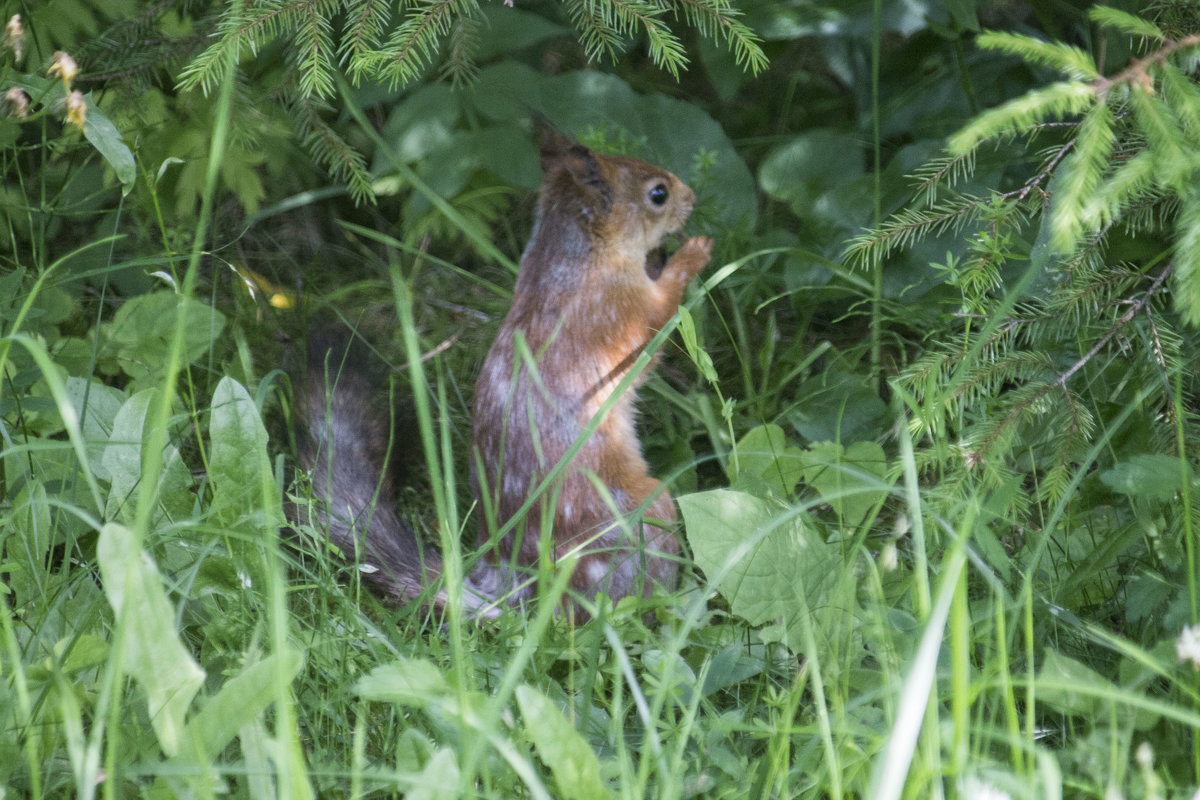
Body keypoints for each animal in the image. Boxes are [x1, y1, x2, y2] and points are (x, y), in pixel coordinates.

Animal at [295, 130, 710, 618]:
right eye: (657, 194)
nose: (692, 197)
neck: (570, 261)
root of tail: (518, 591)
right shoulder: (617, 310)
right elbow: (658, 318)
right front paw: (692, 254)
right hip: (648, 513)